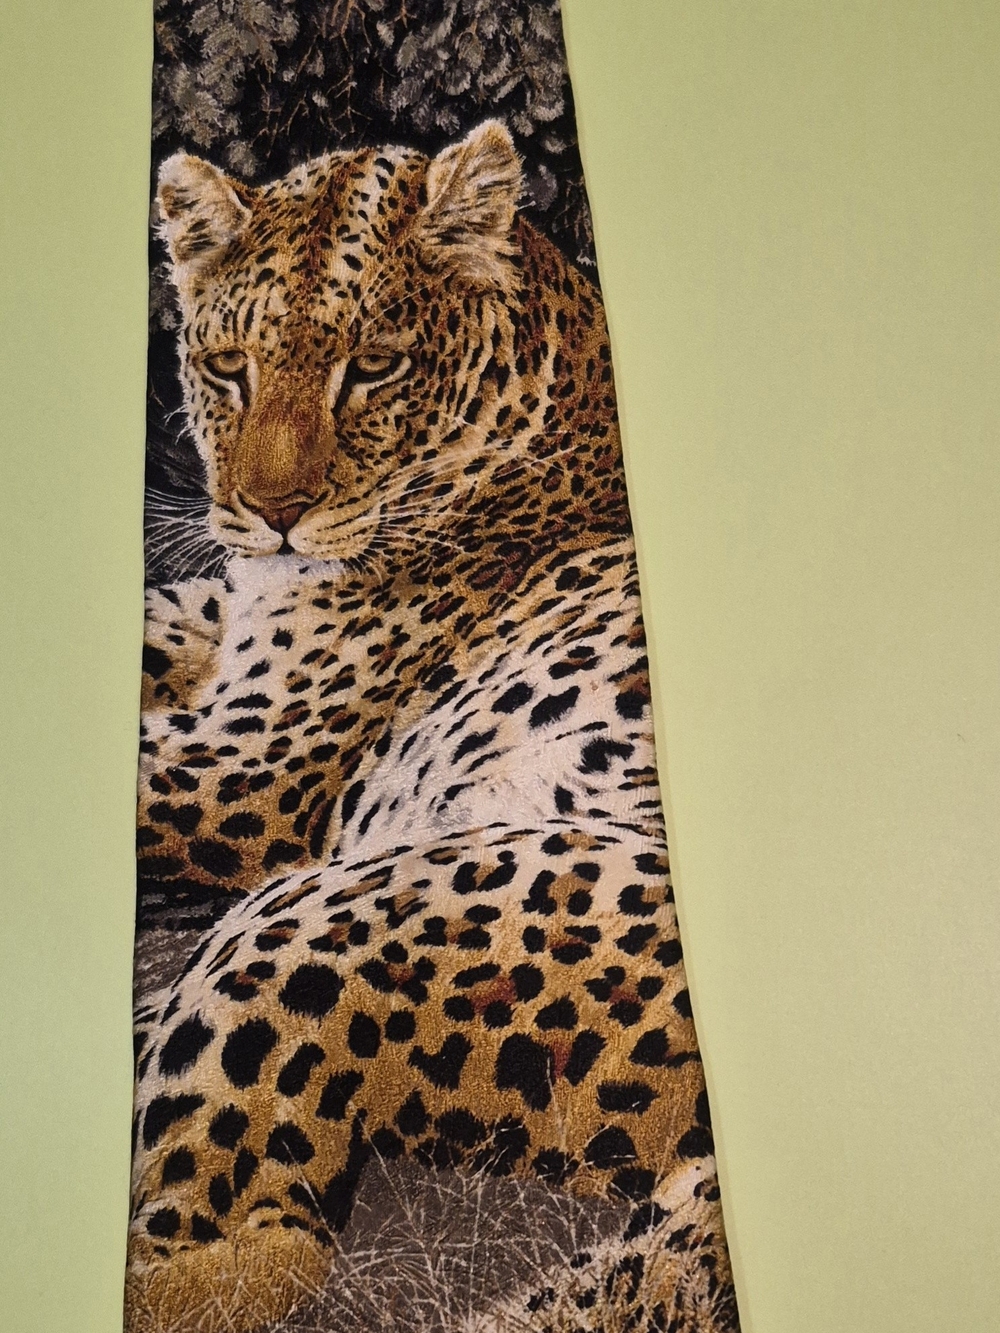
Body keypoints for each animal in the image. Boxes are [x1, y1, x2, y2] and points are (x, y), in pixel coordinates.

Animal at [126, 120, 739, 1333]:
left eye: (373, 368)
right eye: (228, 369)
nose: (269, 513)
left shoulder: (243, 761)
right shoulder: (222, 627)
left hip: (330, 916)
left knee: (246, 1249)